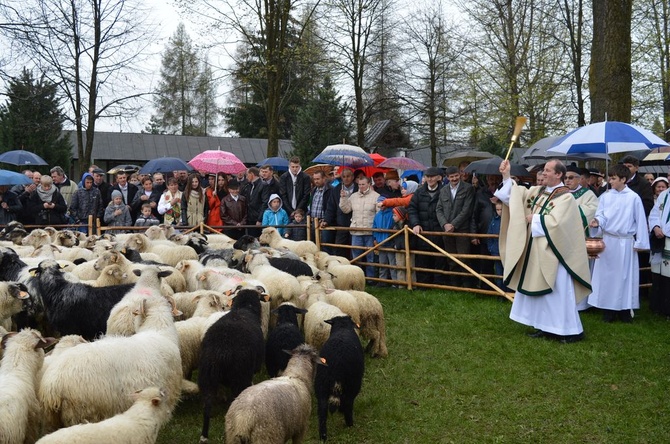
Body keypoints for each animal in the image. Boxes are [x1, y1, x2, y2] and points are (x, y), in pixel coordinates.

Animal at [198, 288, 266, 440]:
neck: (244, 308)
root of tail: (222, 349)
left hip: (207, 376)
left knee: (206, 406)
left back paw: (204, 436)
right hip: (239, 376)